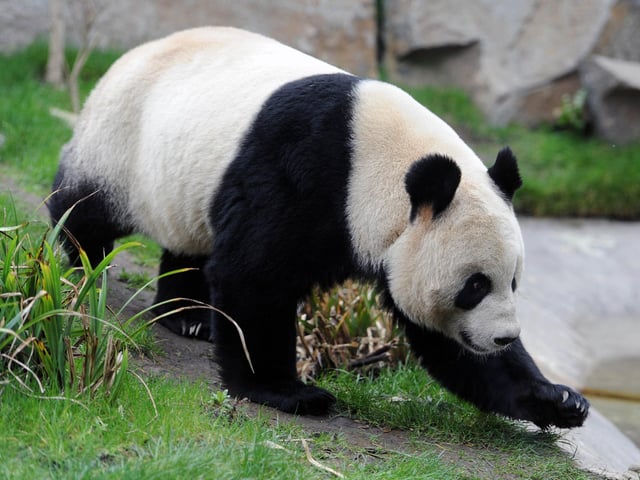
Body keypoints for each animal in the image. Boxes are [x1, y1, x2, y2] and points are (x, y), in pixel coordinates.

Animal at [49, 26, 589, 428]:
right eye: (474, 285)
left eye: (513, 282)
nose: (503, 337)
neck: (378, 161)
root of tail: (132, 53)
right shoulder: (304, 170)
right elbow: (254, 276)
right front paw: (288, 392)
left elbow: (446, 343)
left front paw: (559, 400)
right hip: (121, 140)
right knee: (87, 207)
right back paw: (82, 261)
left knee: (188, 239)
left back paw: (188, 316)